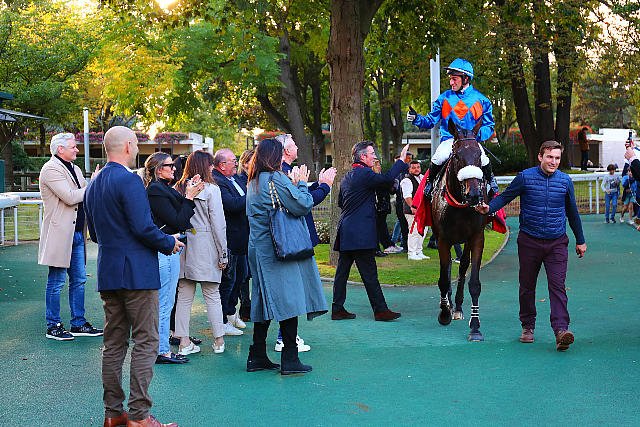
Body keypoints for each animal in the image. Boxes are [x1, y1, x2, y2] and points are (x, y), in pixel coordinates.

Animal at [430, 120, 488, 342]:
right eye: (456, 156)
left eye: (479, 155)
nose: (473, 195)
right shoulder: (443, 238)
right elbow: (443, 278)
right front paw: (444, 312)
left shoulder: (477, 237)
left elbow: (474, 282)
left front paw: (475, 326)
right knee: (446, 270)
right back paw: (447, 304)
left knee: (463, 266)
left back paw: (457, 307)